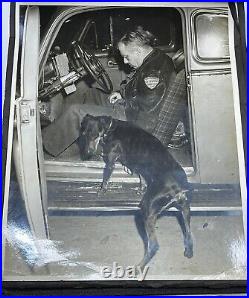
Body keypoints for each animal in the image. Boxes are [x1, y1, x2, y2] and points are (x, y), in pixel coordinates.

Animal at [79, 114, 194, 272]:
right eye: (83, 134)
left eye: (95, 135)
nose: (88, 154)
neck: (111, 127)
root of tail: (176, 188)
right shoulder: (139, 166)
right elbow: (141, 178)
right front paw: (140, 189)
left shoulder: (111, 161)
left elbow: (106, 178)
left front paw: (102, 191)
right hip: (185, 208)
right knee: (188, 233)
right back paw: (189, 251)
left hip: (148, 210)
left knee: (153, 246)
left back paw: (138, 267)